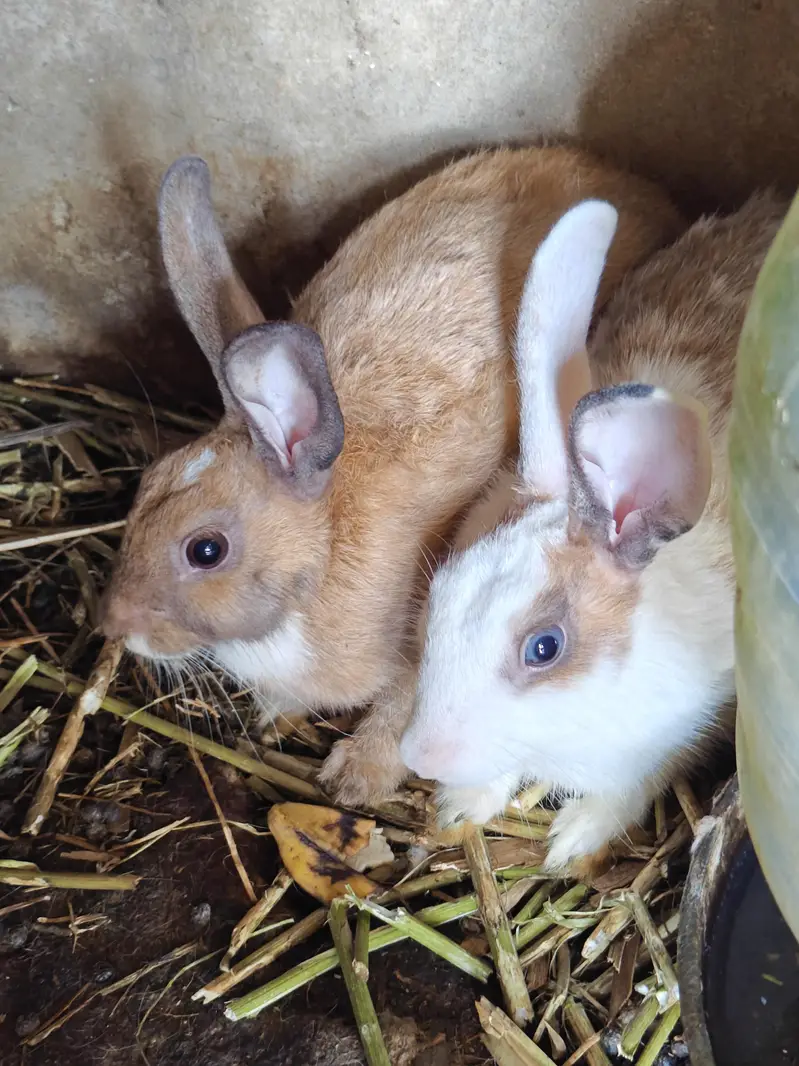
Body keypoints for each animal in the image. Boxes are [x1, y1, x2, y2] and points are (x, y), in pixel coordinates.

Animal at [100, 148, 682, 808]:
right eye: (145, 485)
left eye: (206, 550)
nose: (114, 623)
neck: (322, 545)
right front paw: (277, 713)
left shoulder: (417, 645)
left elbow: (397, 714)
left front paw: (355, 779)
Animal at [399, 192, 785, 870]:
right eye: (438, 595)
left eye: (544, 647)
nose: (421, 757)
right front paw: (463, 805)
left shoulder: (696, 720)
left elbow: (637, 783)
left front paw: (571, 839)